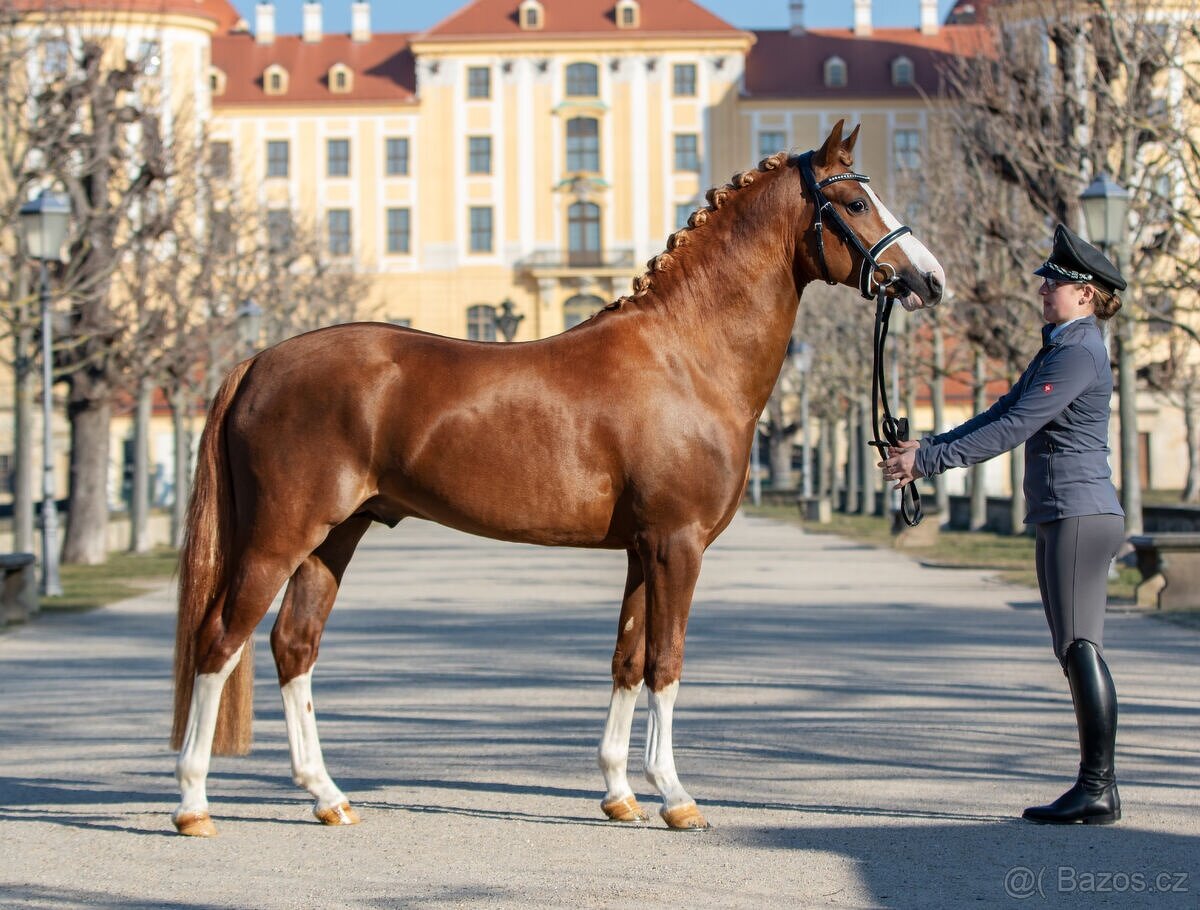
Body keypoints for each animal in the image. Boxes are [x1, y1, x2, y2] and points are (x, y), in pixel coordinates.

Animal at [169, 120, 945, 837]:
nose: (930, 280)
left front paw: (620, 794)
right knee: (220, 641)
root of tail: (258, 361)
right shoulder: (677, 546)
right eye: (854, 201)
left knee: (293, 645)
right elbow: (666, 662)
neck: (688, 357)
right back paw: (194, 805)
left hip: (334, 538)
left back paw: (328, 797)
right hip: (279, 537)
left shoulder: (642, 550)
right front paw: (676, 797)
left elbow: (627, 659)